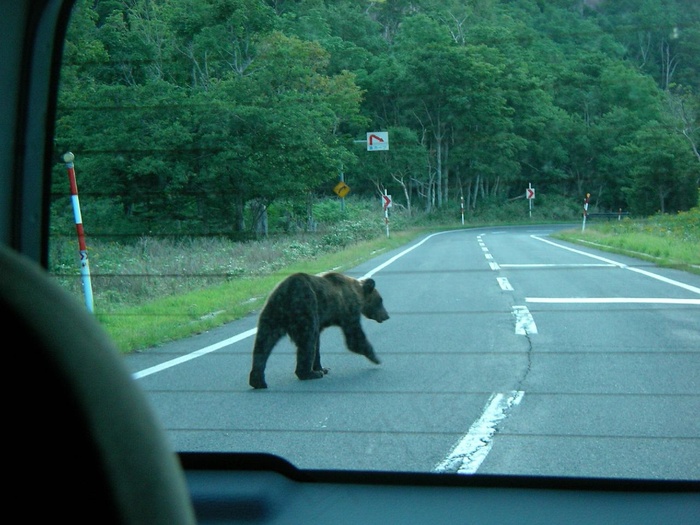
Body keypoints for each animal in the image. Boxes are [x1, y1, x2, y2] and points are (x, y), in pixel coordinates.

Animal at [247, 272, 392, 386]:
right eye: (380, 300)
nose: (387, 316)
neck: (357, 294)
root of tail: (286, 294)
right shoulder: (347, 310)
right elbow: (354, 337)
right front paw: (375, 357)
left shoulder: (322, 321)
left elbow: (318, 344)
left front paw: (322, 368)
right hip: (306, 306)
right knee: (307, 341)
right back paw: (309, 374)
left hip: (271, 314)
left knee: (263, 342)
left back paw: (257, 380)